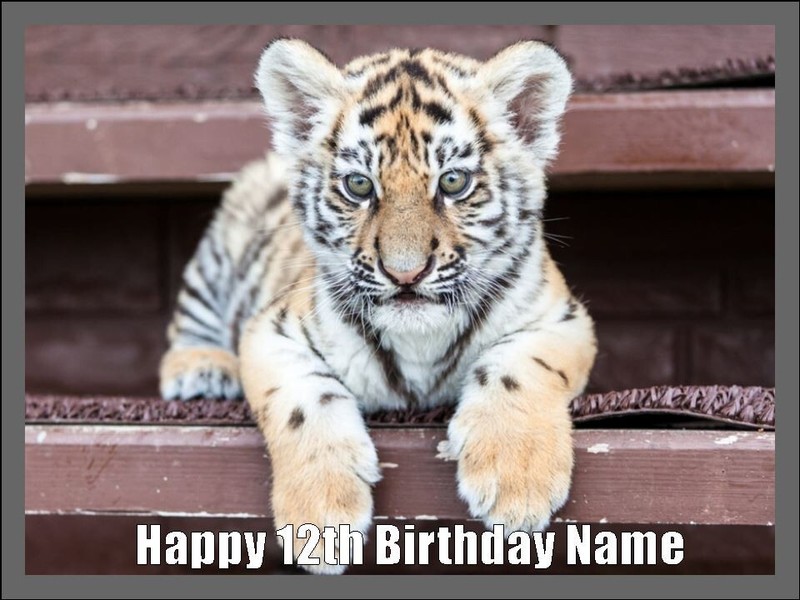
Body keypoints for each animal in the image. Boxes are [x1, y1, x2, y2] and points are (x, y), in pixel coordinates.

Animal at [159, 38, 597, 574]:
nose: (405, 273)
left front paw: (517, 480)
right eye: (360, 185)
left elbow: (518, 363)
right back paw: (201, 368)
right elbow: (304, 397)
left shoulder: (561, 316)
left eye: (453, 182)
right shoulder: (270, 330)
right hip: (220, 252)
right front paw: (321, 516)